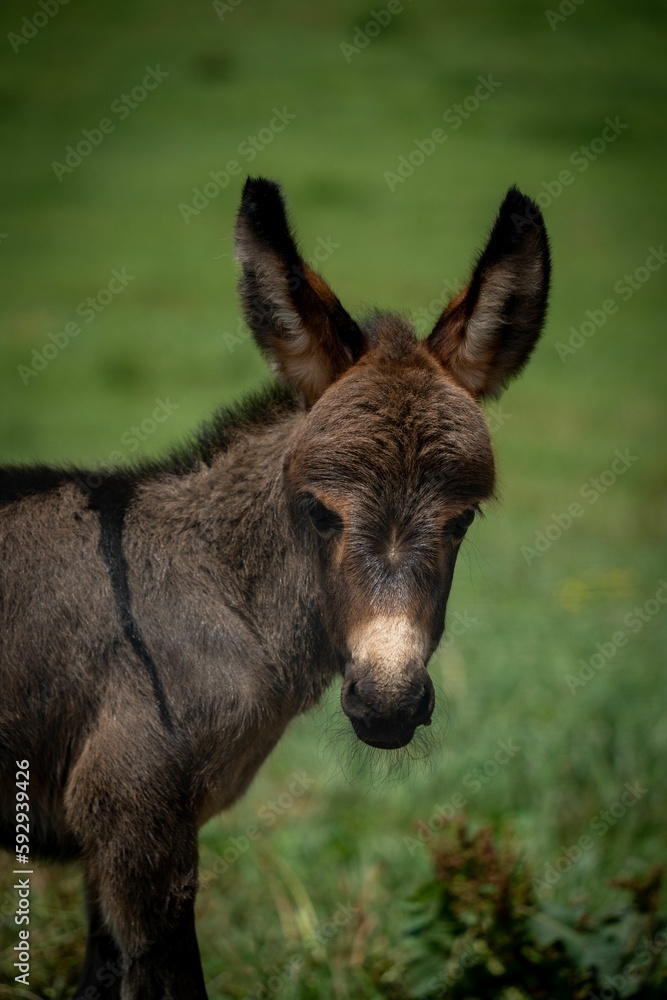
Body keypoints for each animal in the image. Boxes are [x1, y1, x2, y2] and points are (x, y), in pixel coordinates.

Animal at [0, 176, 552, 996]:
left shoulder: (113, 846)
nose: (388, 704)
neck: (216, 590)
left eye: (463, 519)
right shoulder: (135, 826)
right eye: (319, 514)